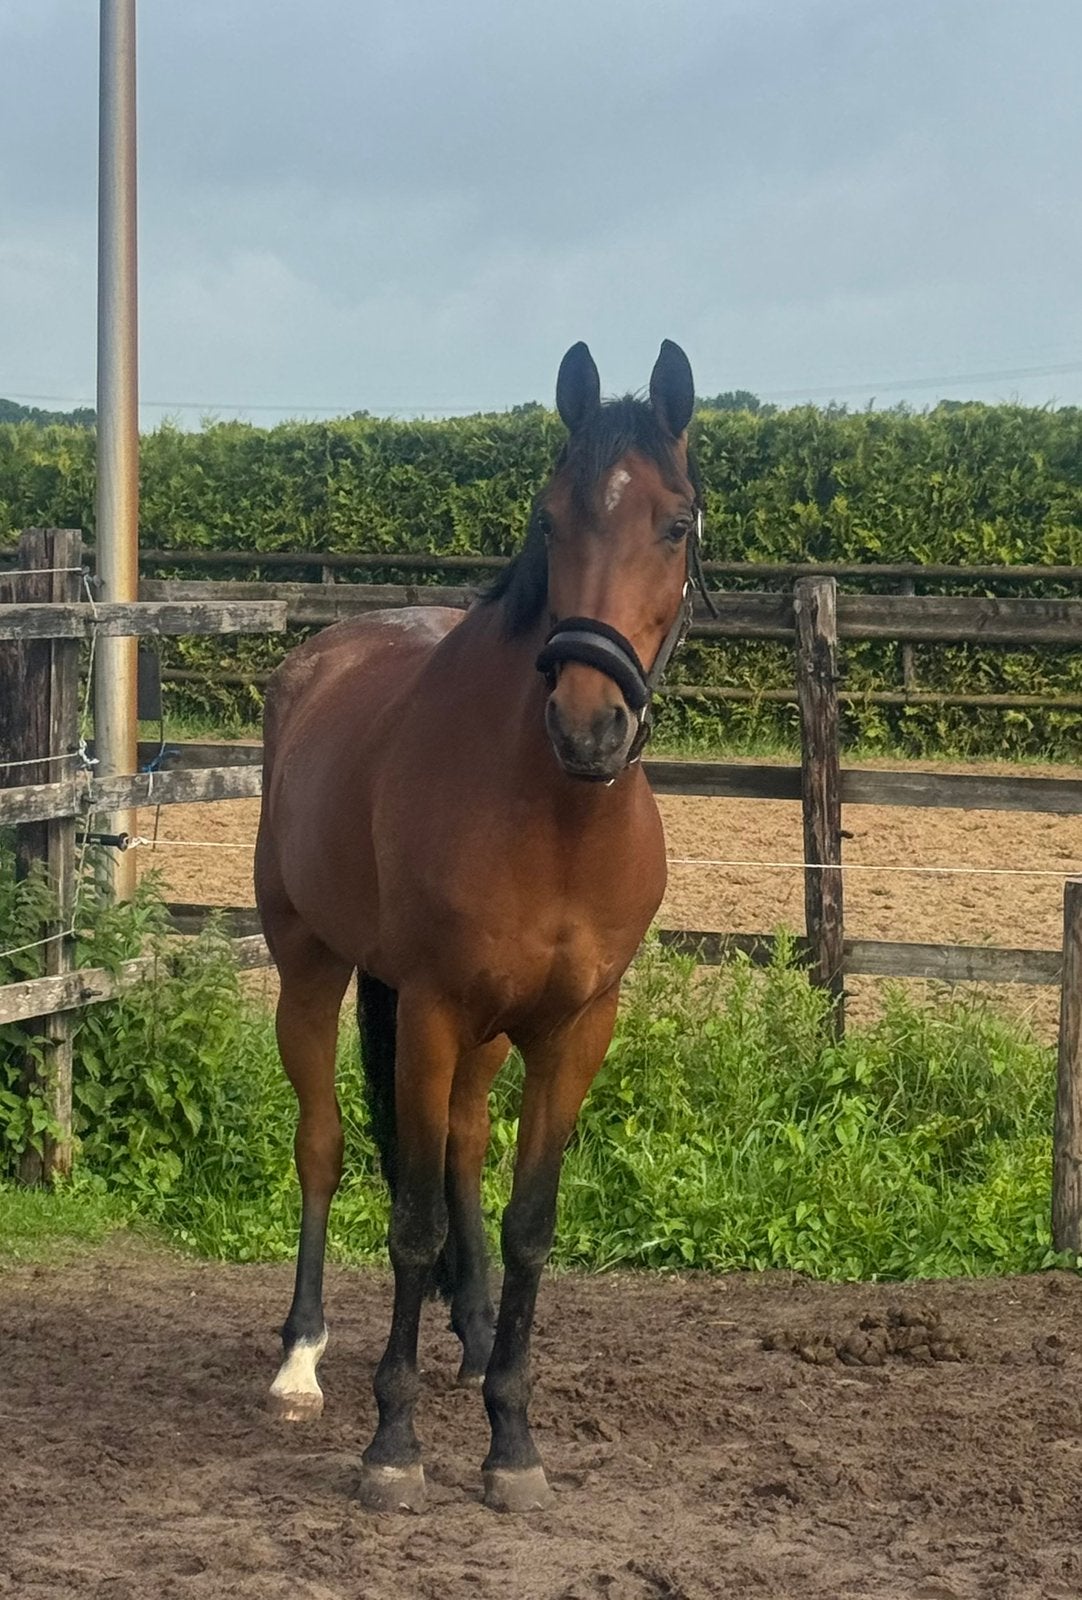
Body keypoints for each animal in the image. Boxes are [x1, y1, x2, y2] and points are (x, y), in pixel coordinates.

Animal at [255, 339, 707, 1514]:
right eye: (550, 521)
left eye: (674, 524)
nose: (588, 725)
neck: (554, 814)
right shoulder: (430, 1012)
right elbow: (410, 1221)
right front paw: (394, 1442)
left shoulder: (572, 1029)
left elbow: (528, 1223)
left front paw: (511, 1437)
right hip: (312, 971)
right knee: (322, 1143)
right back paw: (302, 1356)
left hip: (486, 1033)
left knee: (461, 1141)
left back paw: (467, 1332)